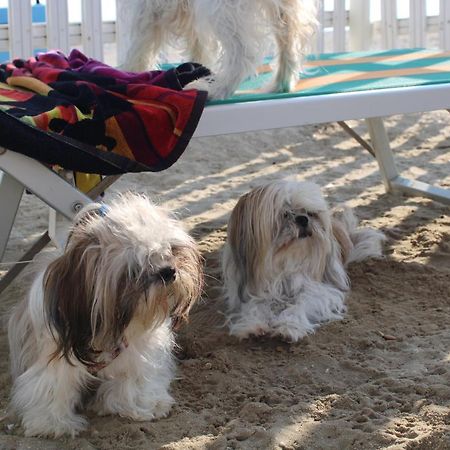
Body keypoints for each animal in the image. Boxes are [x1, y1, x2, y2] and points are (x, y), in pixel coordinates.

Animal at [7, 192, 203, 436]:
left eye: (170, 252)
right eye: (135, 269)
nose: (168, 271)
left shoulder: (137, 351)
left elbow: (133, 377)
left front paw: (140, 404)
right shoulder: (55, 356)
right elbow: (53, 384)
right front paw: (52, 423)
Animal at [118, 0, 318, 98]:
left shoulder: (146, 8)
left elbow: (139, 45)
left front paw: (131, 75)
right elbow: (199, 46)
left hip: (221, 8)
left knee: (244, 51)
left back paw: (216, 90)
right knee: (288, 40)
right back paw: (282, 84)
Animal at [223, 179, 384, 342]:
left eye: (310, 213)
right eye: (285, 214)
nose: (303, 219)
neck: (287, 261)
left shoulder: (319, 290)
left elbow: (300, 304)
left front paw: (289, 326)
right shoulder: (256, 291)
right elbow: (256, 306)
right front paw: (252, 325)